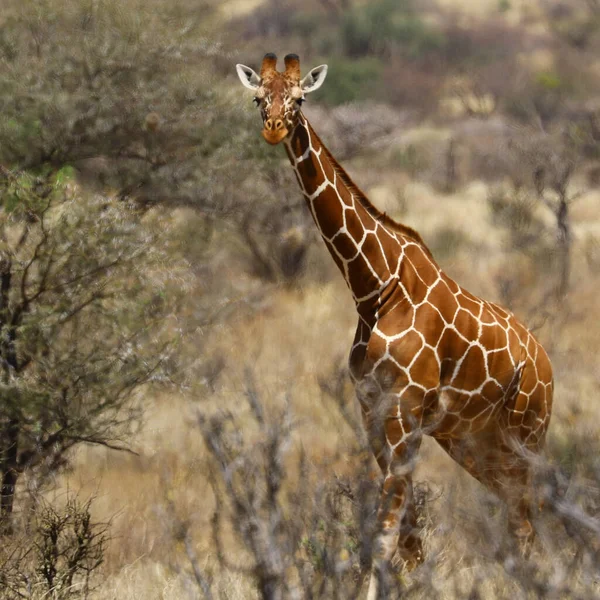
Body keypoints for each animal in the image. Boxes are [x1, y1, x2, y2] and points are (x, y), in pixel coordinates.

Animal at [234, 54, 552, 596]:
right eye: (259, 97)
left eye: (299, 99)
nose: (275, 128)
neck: (373, 290)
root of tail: (548, 365)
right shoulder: (372, 412)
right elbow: (407, 538)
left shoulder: (405, 413)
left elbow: (385, 532)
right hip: (473, 443)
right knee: (520, 524)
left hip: (526, 435)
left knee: (528, 523)